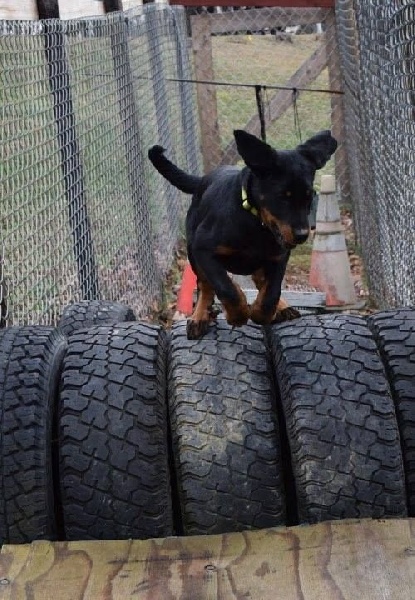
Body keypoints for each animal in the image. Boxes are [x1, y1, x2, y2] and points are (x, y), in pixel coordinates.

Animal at [150, 129, 338, 340]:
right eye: (282, 196)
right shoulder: (202, 249)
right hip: (192, 251)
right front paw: (237, 314)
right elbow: (225, 287)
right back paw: (199, 317)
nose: (302, 235)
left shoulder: (279, 255)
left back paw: (282, 307)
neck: (256, 223)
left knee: (260, 280)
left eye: (309, 196)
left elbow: (272, 291)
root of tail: (202, 180)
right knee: (205, 285)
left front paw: (261, 312)